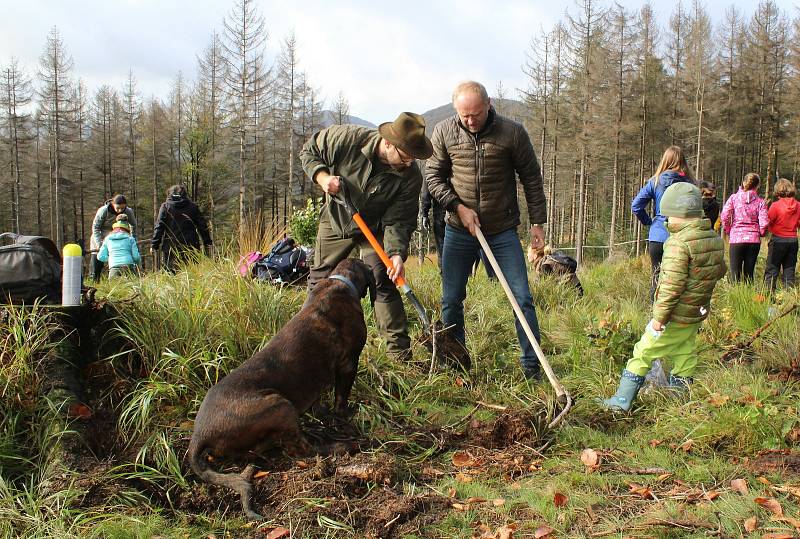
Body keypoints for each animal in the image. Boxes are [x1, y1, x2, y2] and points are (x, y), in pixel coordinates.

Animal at [188, 260, 376, 520]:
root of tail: (199, 434)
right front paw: (346, 421)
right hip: (280, 405)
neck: (340, 280)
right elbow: (341, 401)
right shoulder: (348, 364)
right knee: (302, 449)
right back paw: (345, 445)